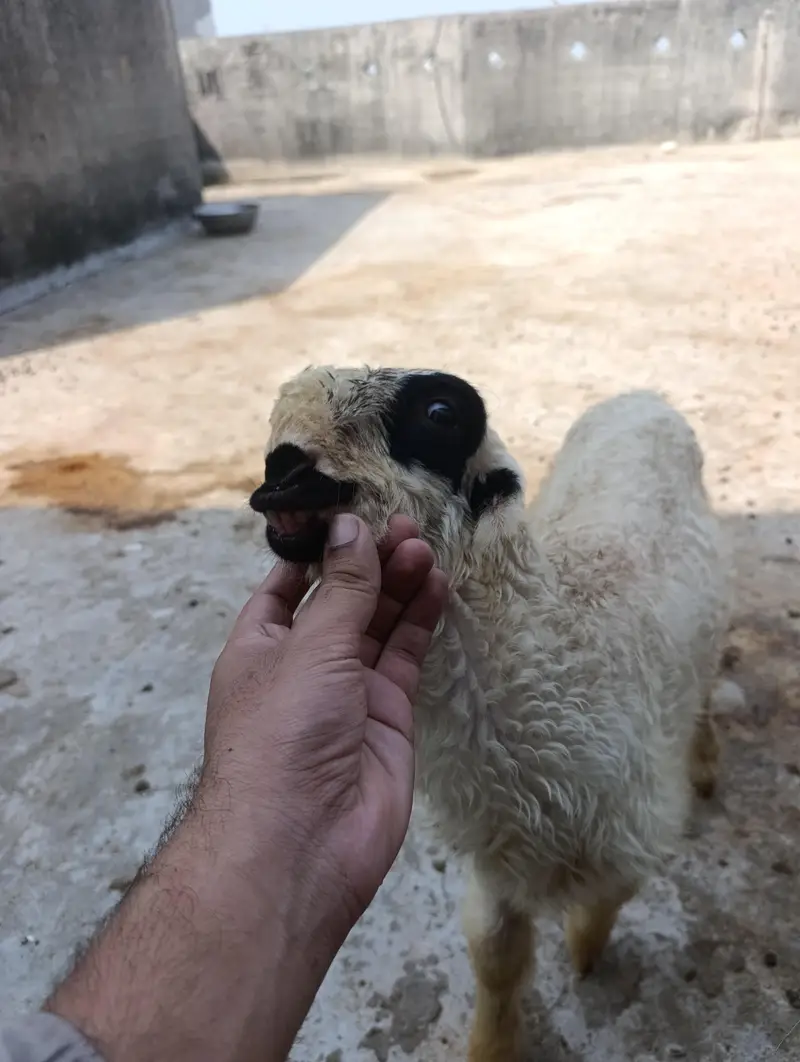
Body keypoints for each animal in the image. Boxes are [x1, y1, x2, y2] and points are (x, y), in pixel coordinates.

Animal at [249, 366, 731, 1062]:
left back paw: (707, 762)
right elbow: (495, 955)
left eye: (441, 413)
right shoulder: (498, 857)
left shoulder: (637, 826)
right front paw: (494, 1044)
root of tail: (644, 399)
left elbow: (606, 899)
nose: (282, 473)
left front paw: (585, 949)